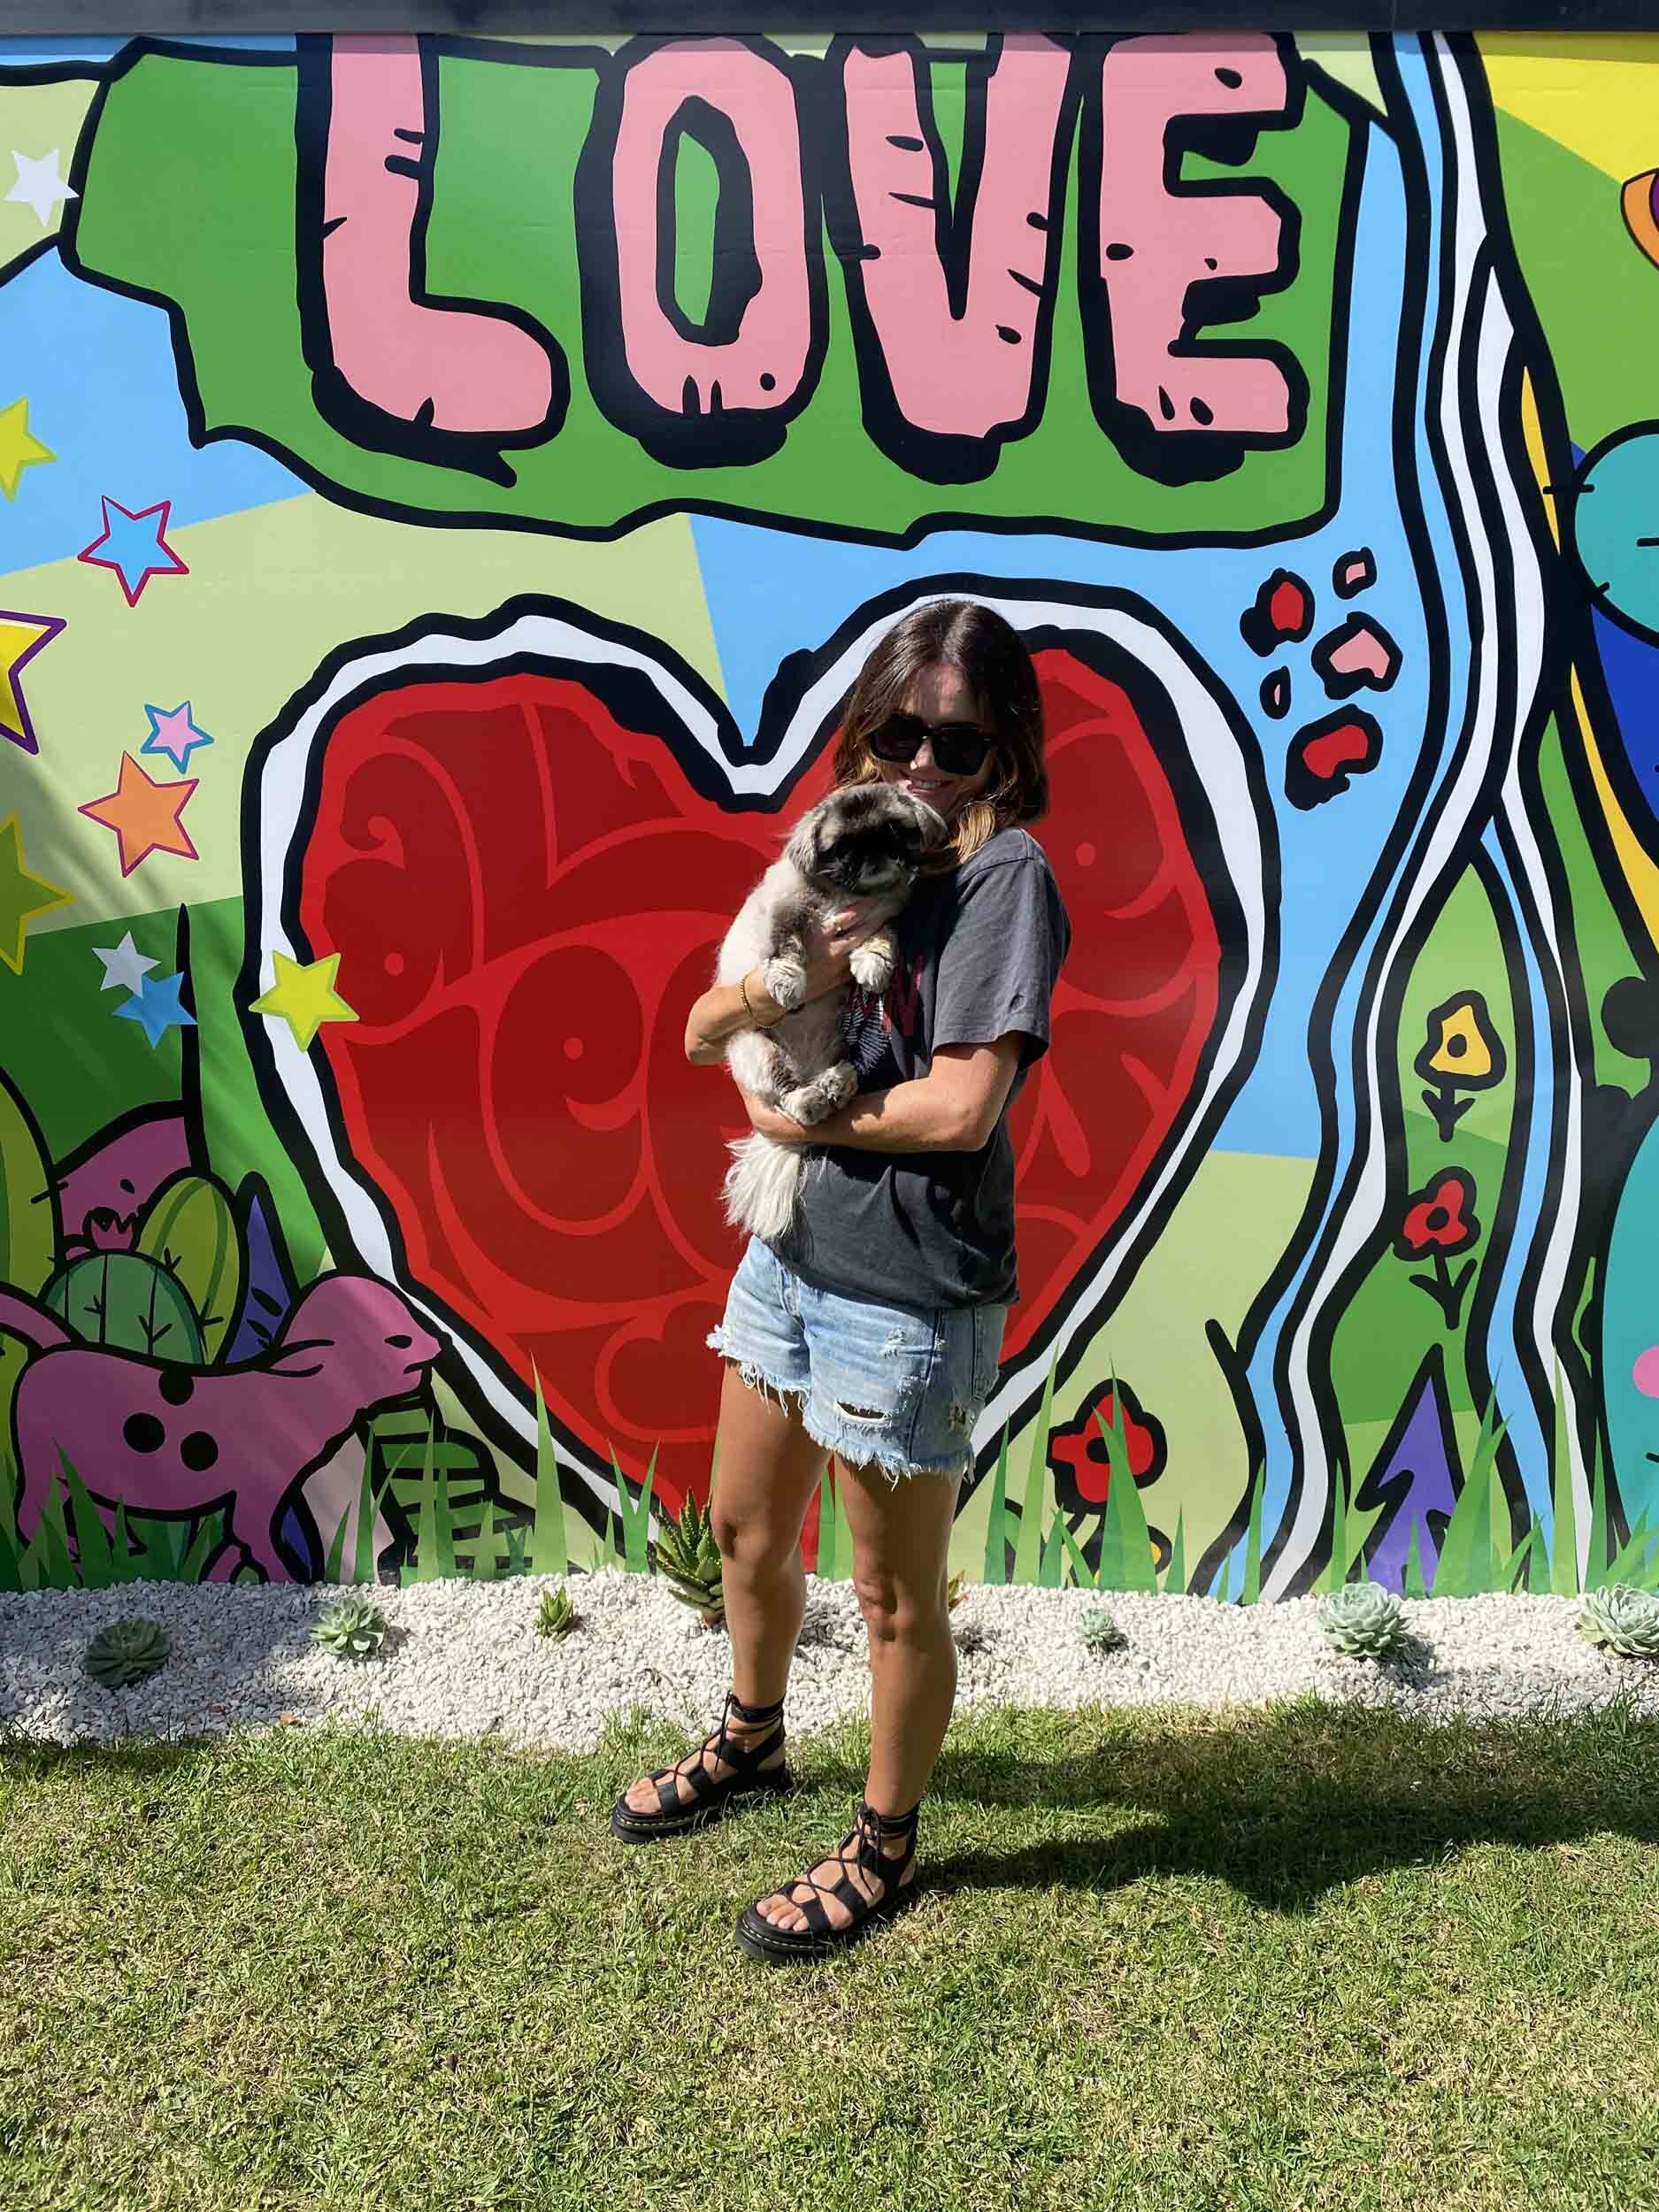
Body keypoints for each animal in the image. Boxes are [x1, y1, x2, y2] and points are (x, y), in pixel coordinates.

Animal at [719, 783, 945, 1238]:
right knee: (787, 1096)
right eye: (842, 846)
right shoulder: (786, 910)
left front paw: (872, 964)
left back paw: (836, 1084)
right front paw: (788, 982)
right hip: (757, 1049)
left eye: (894, 830)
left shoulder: (883, 918)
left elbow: (881, 939)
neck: (847, 894)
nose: (872, 851)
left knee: (841, 1075)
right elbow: (786, 947)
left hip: (846, 1041)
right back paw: (811, 1098)